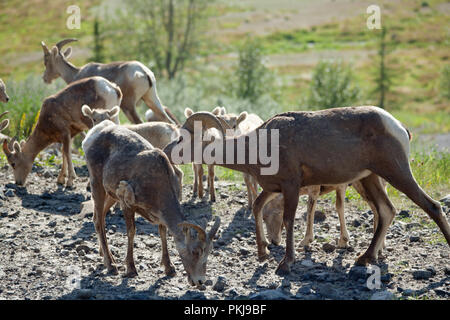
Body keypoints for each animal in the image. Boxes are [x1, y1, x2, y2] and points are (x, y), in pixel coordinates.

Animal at [163, 106, 450, 274]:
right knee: (387, 212)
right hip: (371, 179)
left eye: (183, 138)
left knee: (432, 206)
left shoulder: (291, 186)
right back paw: (363, 258)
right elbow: (257, 208)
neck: (259, 145)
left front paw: (285, 263)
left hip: (395, 172)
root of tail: (399, 127)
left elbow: (290, 220)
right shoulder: (273, 188)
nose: (165, 152)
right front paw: (262, 253)